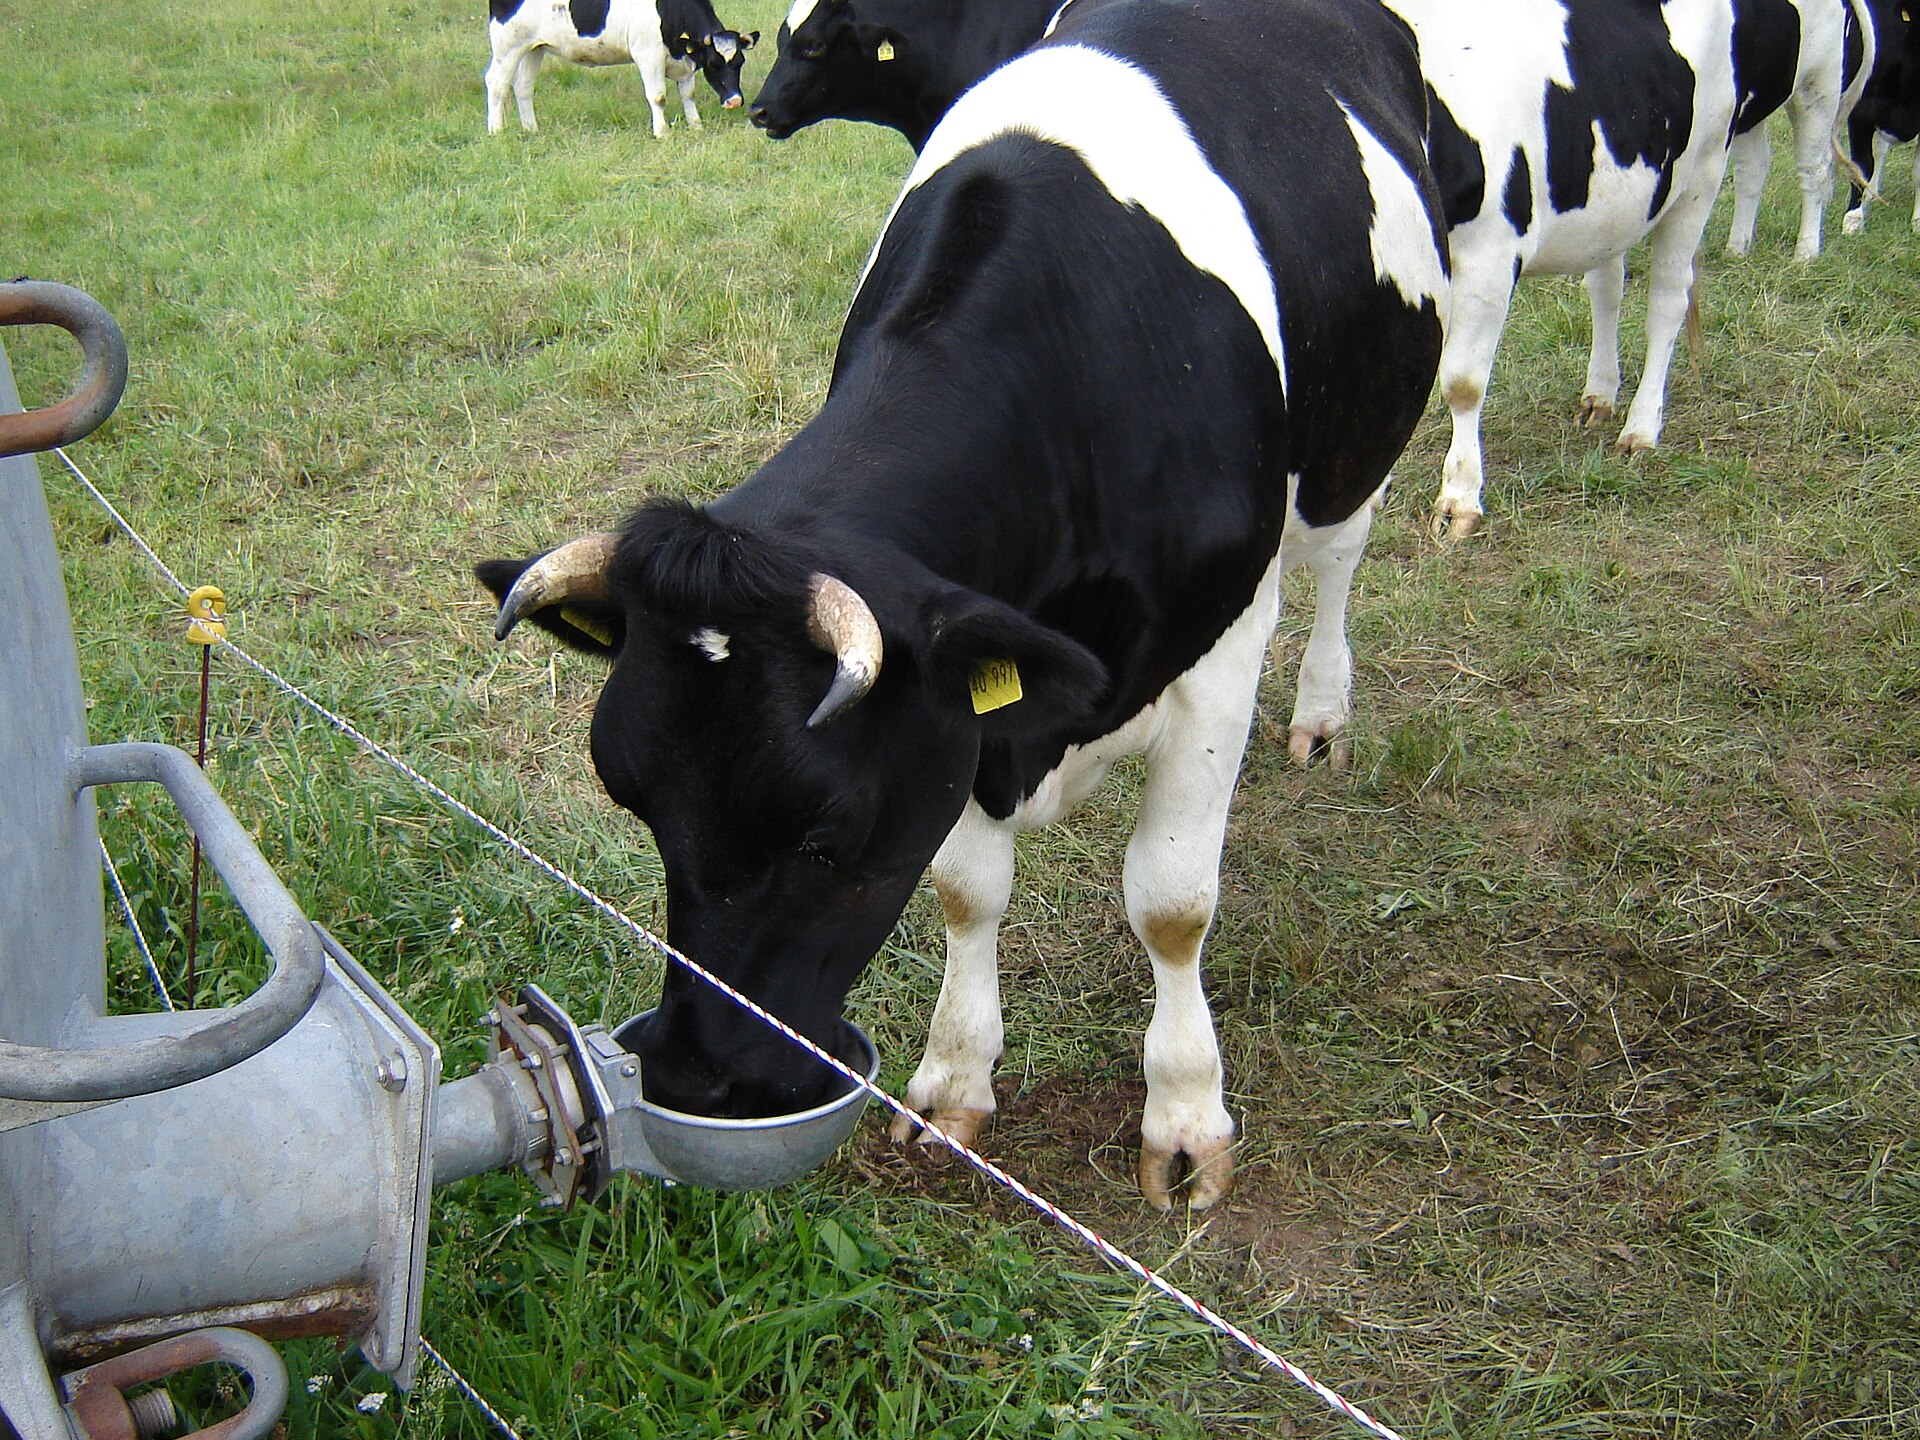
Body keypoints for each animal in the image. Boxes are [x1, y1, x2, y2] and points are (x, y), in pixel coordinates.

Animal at [485, 0, 759, 137]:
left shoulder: (684, 60)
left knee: (523, 87)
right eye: (713, 63)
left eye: (740, 62)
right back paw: (496, 130)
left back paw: (531, 129)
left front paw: (696, 125)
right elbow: (658, 96)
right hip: (507, 47)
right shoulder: (648, 54)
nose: (735, 100)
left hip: (534, 48)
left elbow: (688, 94)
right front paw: (661, 132)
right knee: (496, 83)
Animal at [1396, 0, 1742, 538]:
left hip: (1699, 180)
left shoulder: (1490, 254)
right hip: (1611, 208)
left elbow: (1462, 382)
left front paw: (1459, 497)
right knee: (1607, 289)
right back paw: (1599, 396)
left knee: (1667, 302)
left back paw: (1642, 428)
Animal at [1725, 0, 1874, 259]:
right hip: (1754, 103)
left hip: (1817, 88)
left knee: (1814, 170)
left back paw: (1805, 253)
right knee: (1752, 166)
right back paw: (1736, 250)